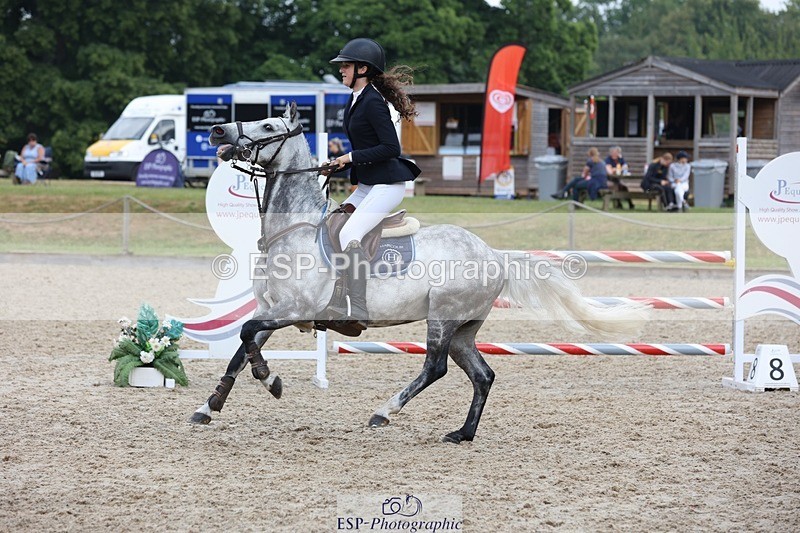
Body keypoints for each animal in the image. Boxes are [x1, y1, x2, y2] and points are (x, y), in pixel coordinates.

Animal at [189, 102, 648, 443]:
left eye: (267, 124)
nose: (217, 133)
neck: (293, 229)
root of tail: (494, 254)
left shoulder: (294, 309)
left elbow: (247, 336)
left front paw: (271, 381)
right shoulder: (274, 308)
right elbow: (241, 348)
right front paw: (208, 407)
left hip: (441, 318)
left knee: (435, 368)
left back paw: (384, 412)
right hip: (463, 328)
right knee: (482, 375)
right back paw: (462, 433)